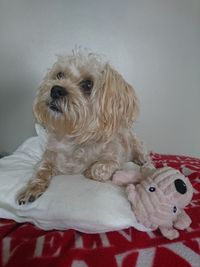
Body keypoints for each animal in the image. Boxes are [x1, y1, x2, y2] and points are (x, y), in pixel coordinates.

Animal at [16, 50, 148, 205]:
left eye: (88, 84)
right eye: (59, 75)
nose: (56, 89)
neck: (76, 137)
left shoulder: (116, 158)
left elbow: (100, 168)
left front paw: (90, 171)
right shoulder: (49, 157)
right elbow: (41, 169)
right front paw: (32, 188)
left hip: (133, 139)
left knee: (140, 150)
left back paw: (141, 159)